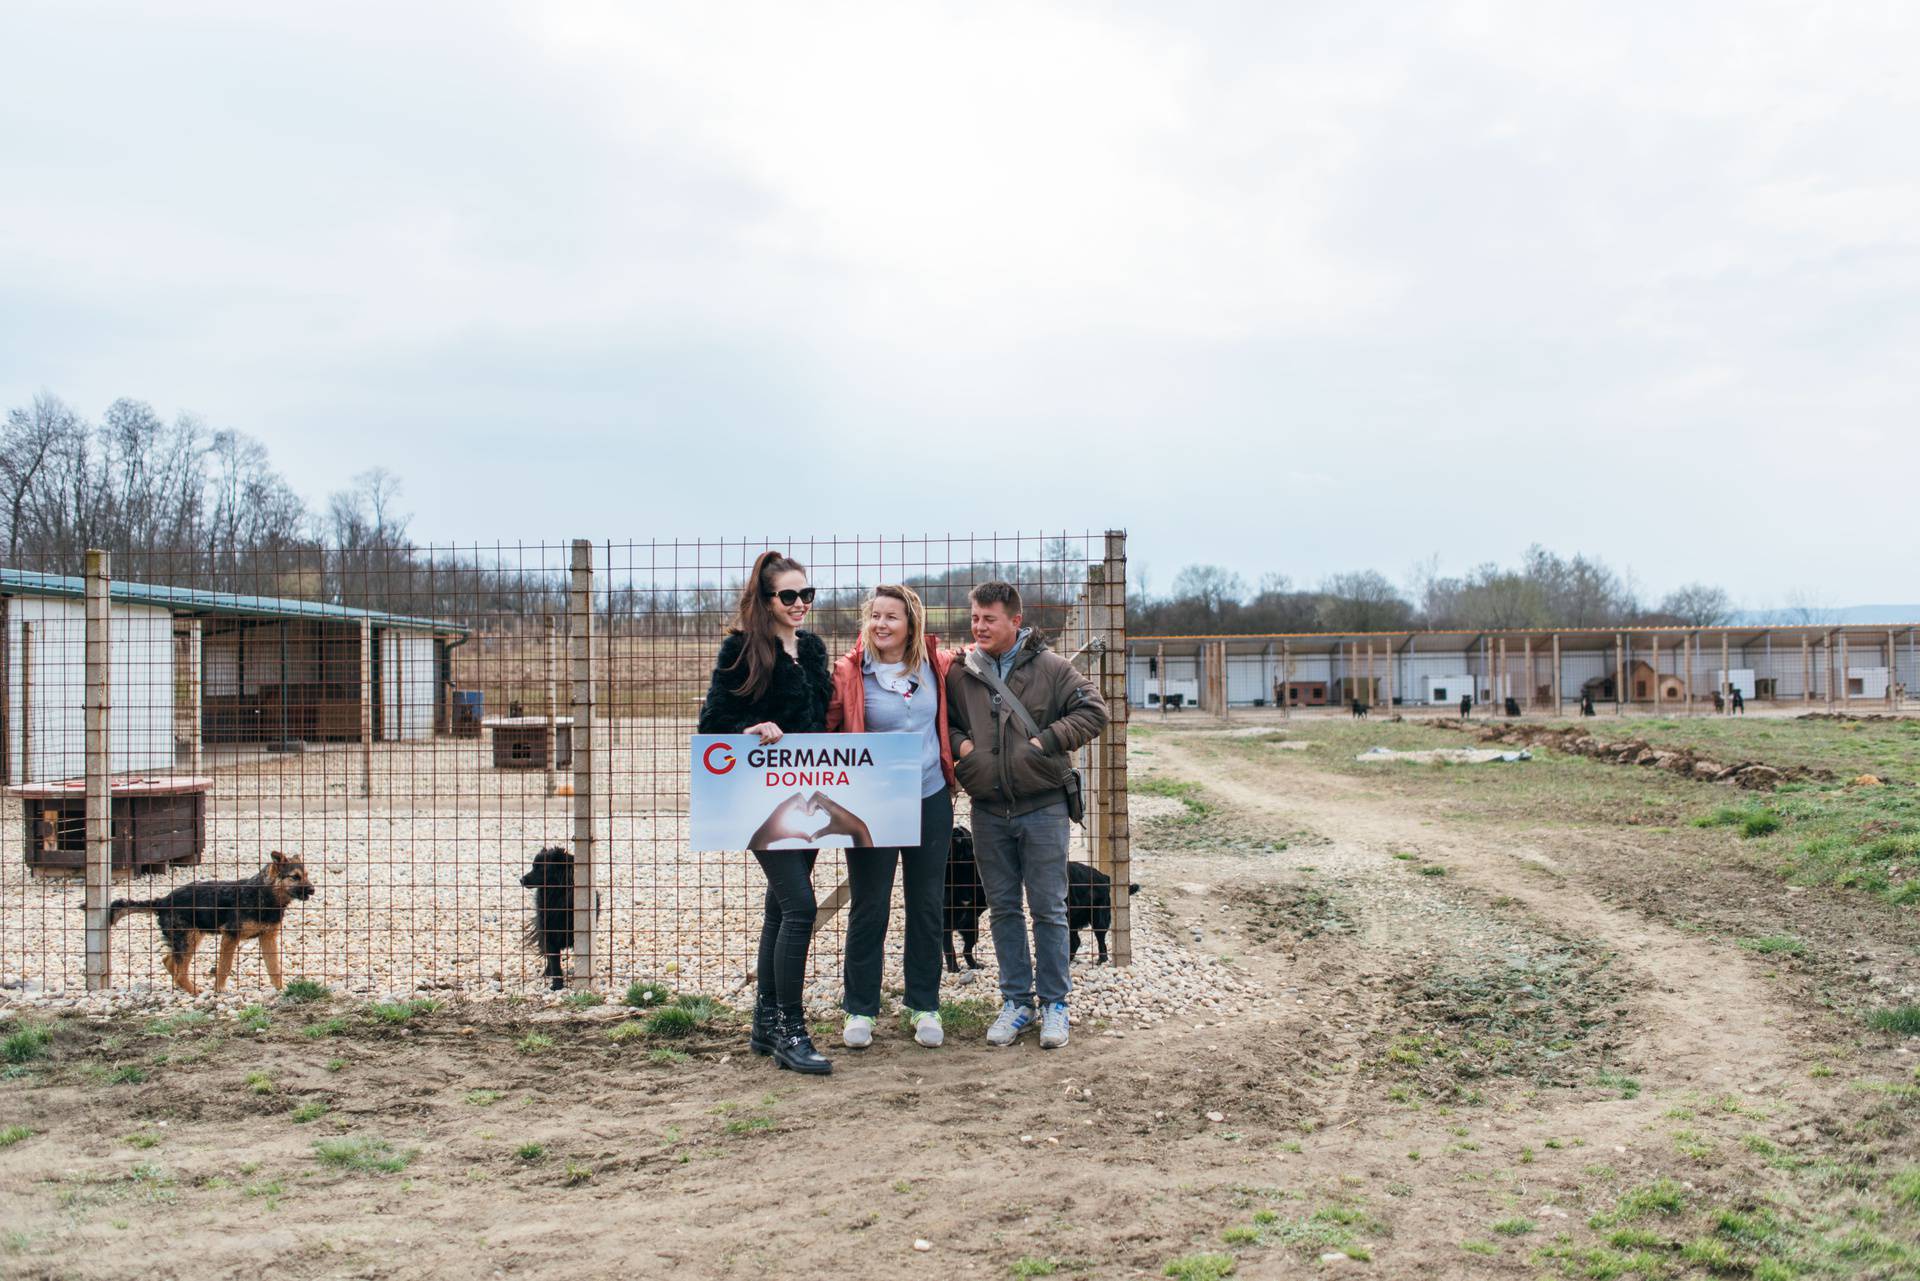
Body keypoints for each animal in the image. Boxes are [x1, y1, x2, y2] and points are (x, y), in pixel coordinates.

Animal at [105, 856, 316, 998]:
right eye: (295, 877)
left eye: (306, 875)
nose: (313, 890)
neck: (264, 895)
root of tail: (162, 901)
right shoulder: (230, 936)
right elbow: (224, 966)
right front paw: (219, 990)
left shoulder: (268, 937)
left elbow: (274, 968)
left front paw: (281, 989)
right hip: (189, 939)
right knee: (179, 971)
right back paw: (194, 990)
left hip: (190, 938)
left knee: (169, 962)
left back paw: (183, 988)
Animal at [944, 833, 990, 971]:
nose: (956, 831)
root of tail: (956, 928)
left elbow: (977, 904)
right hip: (947, 930)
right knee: (950, 950)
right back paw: (953, 969)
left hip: (972, 931)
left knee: (966, 950)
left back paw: (975, 965)